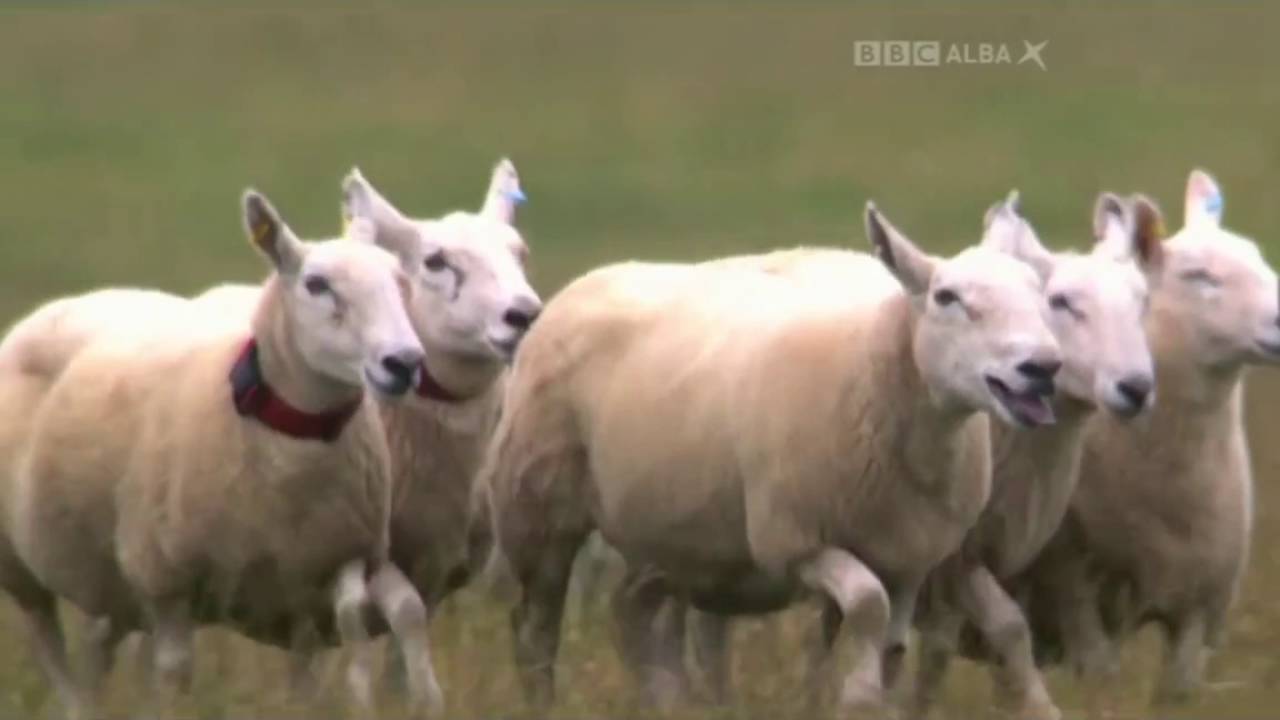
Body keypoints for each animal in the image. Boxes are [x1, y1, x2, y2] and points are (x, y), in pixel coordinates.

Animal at [5, 190, 426, 717]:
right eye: (316, 284)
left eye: (401, 281)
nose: (405, 363)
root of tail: (65, 304)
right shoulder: (165, 583)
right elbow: (173, 675)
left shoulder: (320, 574)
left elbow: (331, 649)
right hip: (20, 567)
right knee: (51, 648)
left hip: (113, 587)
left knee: (95, 651)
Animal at [482, 201, 1063, 714]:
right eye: (947, 296)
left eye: (1041, 295)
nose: (1043, 366)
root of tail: (590, 280)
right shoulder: (793, 540)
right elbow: (867, 606)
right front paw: (857, 699)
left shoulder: (909, 560)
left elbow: (894, 647)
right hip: (537, 510)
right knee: (535, 632)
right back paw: (544, 704)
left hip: (673, 534)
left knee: (630, 609)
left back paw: (665, 702)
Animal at [1008, 169, 1280, 705]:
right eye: (1200, 276)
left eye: (1260, 258)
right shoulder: (1076, 598)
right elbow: (1101, 684)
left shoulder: (1199, 613)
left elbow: (1177, 691)